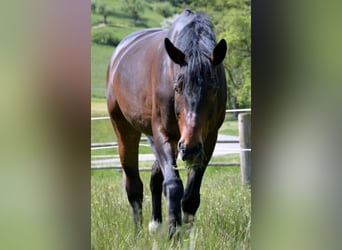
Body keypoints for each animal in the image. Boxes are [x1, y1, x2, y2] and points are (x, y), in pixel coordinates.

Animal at [105, 8, 226, 237]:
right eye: (177, 87)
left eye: (214, 89)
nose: (190, 148)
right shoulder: (164, 134)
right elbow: (173, 185)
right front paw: (174, 232)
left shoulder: (209, 140)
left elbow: (191, 195)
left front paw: (187, 235)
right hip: (124, 129)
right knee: (134, 186)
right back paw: (138, 234)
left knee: (154, 178)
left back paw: (155, 224)